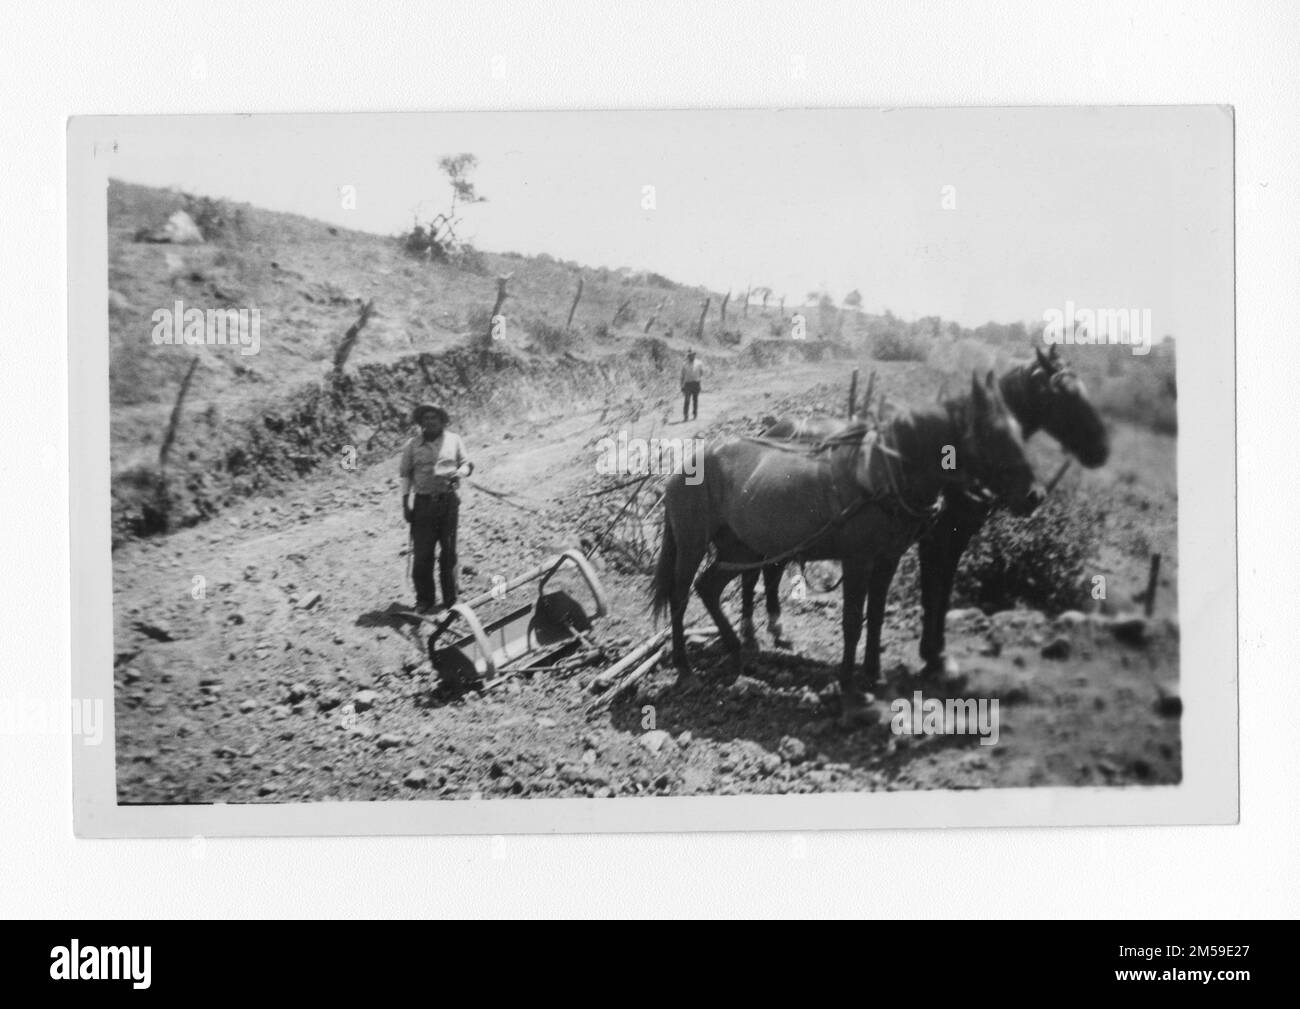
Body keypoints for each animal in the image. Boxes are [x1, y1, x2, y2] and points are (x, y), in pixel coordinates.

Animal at [650, 371, 1034, 717]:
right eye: (994, 434)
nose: (1034, 495)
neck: (884, 474)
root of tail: (685, 465)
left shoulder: (888, 558)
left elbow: (875, 616)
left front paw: (874, 675)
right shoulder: (858, 560)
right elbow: (852, 621)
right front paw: (849, 686)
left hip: (739, 548)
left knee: (709, 586)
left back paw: (737, 648)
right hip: (692, 544)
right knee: (681, 596)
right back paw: (685, 668)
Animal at [743, 343, 1107, 676]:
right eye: (1061, 393)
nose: (1101, 450)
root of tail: (774, 428)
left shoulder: (956, 536)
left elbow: (943, 590)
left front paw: (935, 652)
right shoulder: (937, 537)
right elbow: (934, 590)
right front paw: (933, 654)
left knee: (770, 569)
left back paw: (776, 629)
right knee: (755, 570)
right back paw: (754, 635)